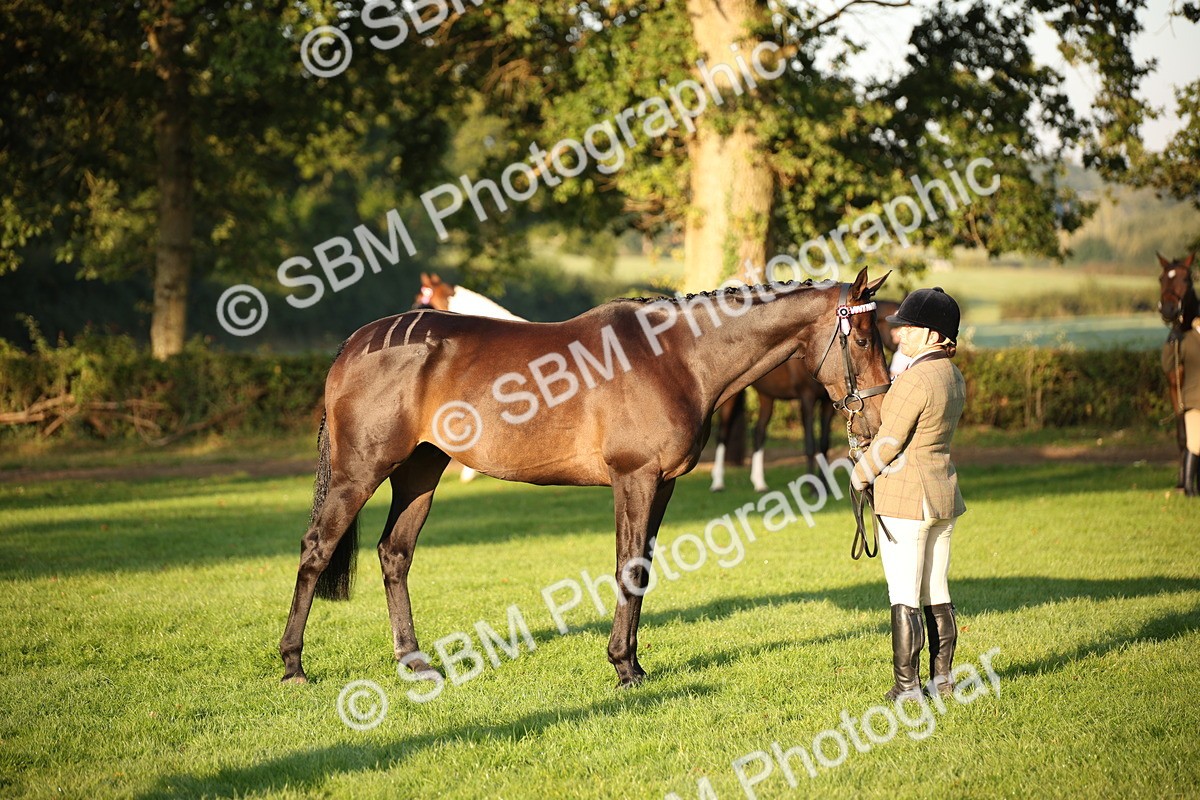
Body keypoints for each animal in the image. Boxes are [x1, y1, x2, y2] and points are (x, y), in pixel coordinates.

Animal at [710, 298, 902, 493]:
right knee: (723, 433)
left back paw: (759, 482)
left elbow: (824, 443)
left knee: (759, 432)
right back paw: (718, 482)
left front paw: (824, 485)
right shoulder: (806, 398)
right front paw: (812, 487)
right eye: (863, 342)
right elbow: (810, 444)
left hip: (766, 397)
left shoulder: (827, 403)